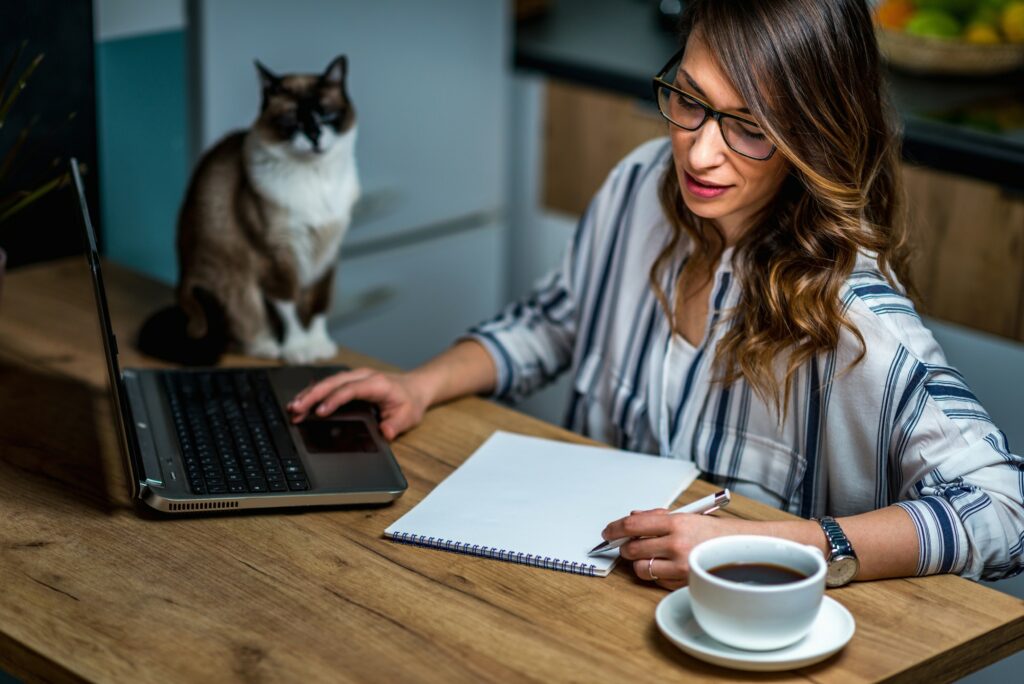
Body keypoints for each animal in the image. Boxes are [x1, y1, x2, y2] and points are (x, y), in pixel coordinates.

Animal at [138, 54, 358, 362]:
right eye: (292, 119)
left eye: (325, 114)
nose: (314, 135)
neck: (316, 177)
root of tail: (183, 293)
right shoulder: (277, 255)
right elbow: (289, 306)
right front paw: (299, 350)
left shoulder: (328, 252)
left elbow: (318, 304)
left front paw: (319, 346)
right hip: (234, 285)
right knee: (244, 326)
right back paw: (269, 345)